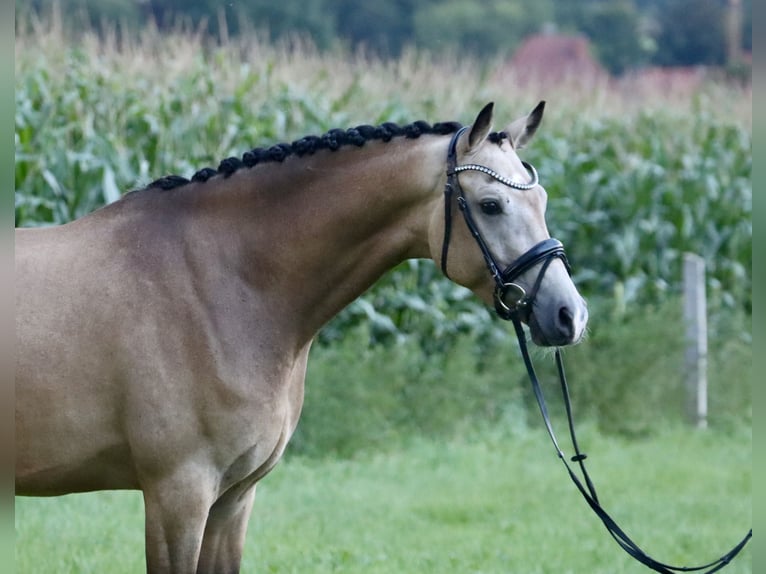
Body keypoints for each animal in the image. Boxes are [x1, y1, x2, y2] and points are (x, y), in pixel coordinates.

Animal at [15, 101, 588, 572]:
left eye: (540, 199)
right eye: (491, 204)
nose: (570, 315)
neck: (220, 283)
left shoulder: (232, 499)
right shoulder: (178, 494)